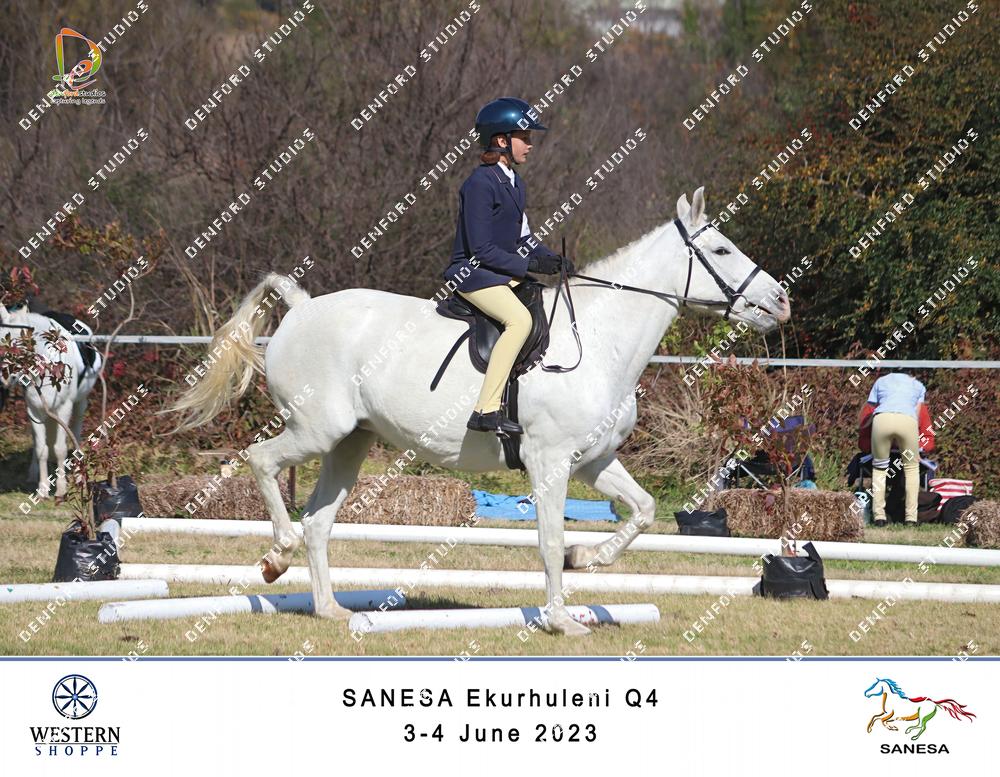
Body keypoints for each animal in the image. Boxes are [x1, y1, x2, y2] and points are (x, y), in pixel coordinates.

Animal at [0, 304, 102, 498]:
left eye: (20, 341)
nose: (5, 378)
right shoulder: (35, 410)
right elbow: (42, 449)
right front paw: (42, 490)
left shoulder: (64, 408)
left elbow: (60, 448)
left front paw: (61, 489)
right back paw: (33, 474)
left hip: (80, 404)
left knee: (75, 432)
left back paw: (77, 474)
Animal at [169, 187, 791, 635]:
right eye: (721, 250)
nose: (782, 301)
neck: (598, 338)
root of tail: (301, 307)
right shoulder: (550, 460)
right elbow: (546, 541)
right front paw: (561, 620)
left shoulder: (593, 460)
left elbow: (643, 511)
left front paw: (586, 557)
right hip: (316, 429)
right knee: (260, 461)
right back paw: (276, 557)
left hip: (351, 441)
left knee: (318, 522)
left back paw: (332, 611)